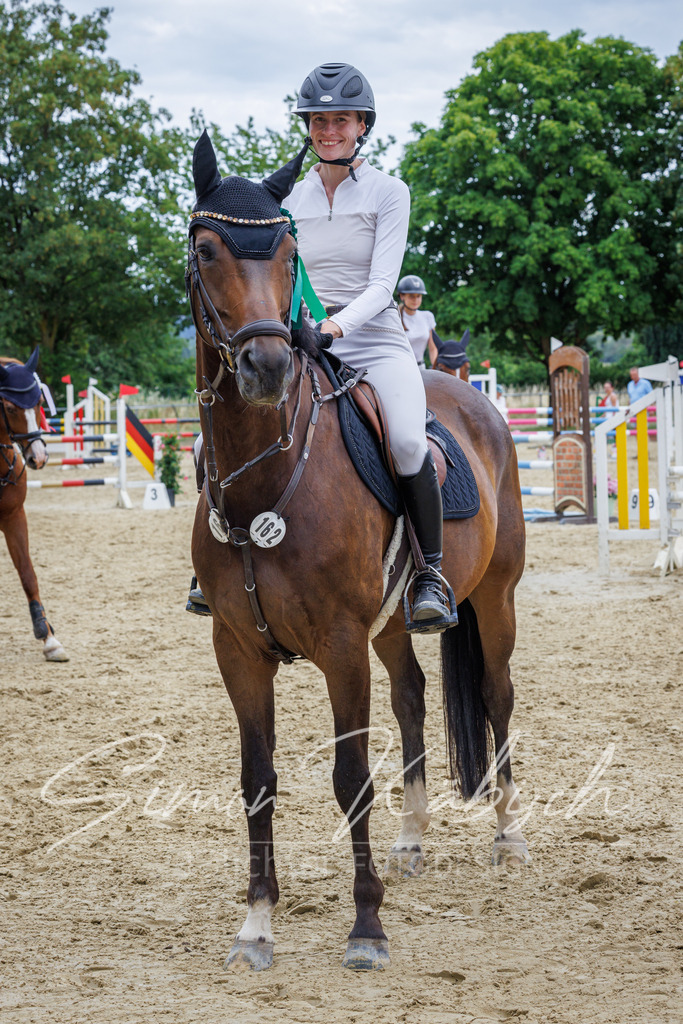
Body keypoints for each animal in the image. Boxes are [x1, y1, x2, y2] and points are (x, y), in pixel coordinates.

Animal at [187, 131, 528, 972]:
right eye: (207, 250)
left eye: (285, 252)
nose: (268, 367)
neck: (266, 476)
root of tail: (474, 403)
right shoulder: (236, 647)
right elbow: (257, 778)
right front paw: (256, 926)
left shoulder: (340, 645)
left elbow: (349, 778)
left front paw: (366, 928)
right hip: (394, 624)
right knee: (412, 698)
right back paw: (411, 842)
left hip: (493, 598)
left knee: (497, 694)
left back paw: (508, 835)